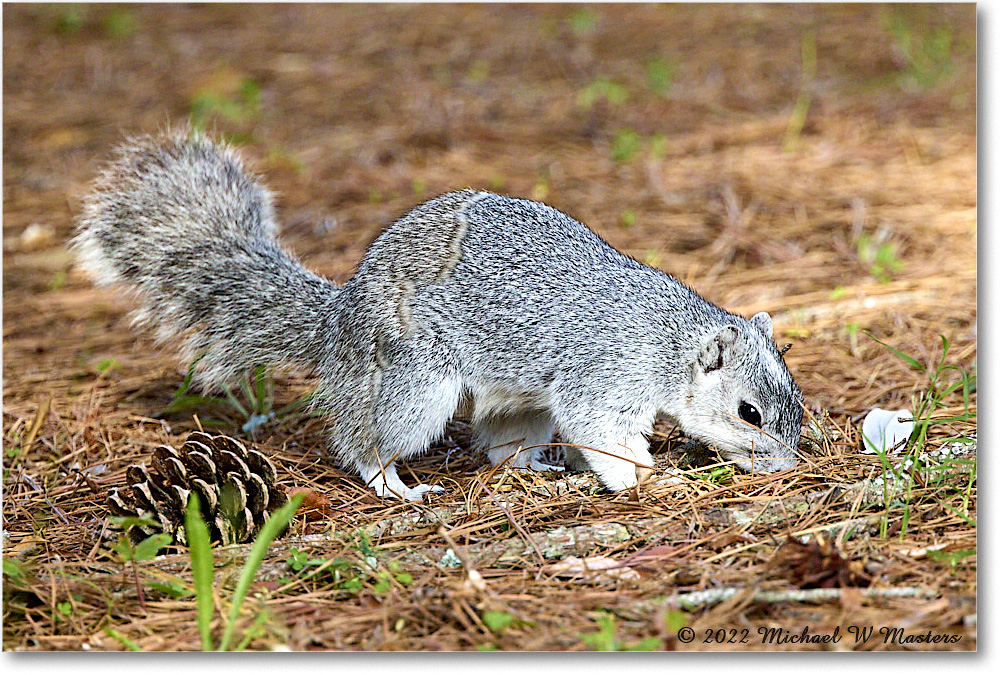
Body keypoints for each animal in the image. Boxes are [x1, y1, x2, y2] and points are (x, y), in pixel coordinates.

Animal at [72, 129, 804, 502]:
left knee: (502, 444)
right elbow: (608, 432)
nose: (789, 464)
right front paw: (643, 475)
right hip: (415, 380)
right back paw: (394, 484)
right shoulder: (606, 373)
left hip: (517, 398)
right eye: (748, 412)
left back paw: (537, 470)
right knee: (368, 440)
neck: (670, 338)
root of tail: (341, 319)